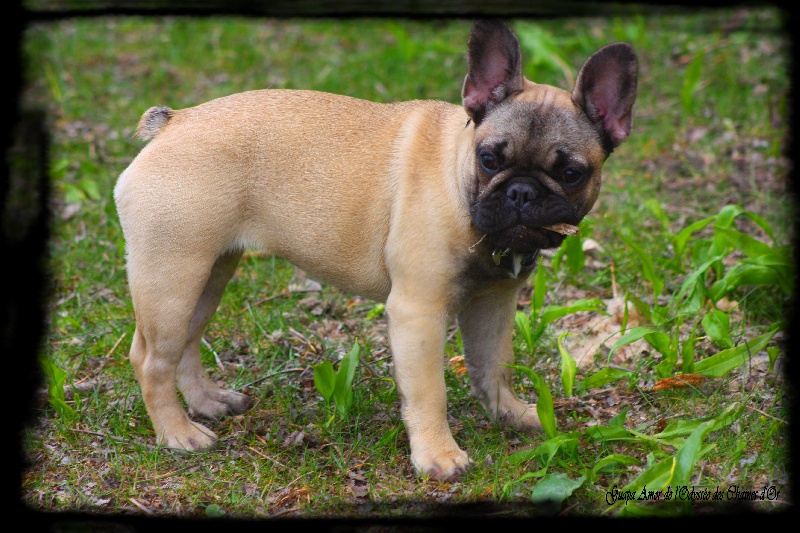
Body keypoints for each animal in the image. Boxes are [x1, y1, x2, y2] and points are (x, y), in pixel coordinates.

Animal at [114, 20, 636, 480]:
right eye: (490, 159)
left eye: (572, 173)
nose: (522, 192)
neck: (459, 183)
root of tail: (175, 123)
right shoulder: (418, 311)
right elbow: (429, 392)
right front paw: (438, 456)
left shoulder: (493, 304)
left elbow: (495, 366)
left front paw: (508, 413)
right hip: (172, 277)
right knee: (151, 359)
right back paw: (178, 433)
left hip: (209, 272)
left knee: (186, 342)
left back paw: (207, 403)